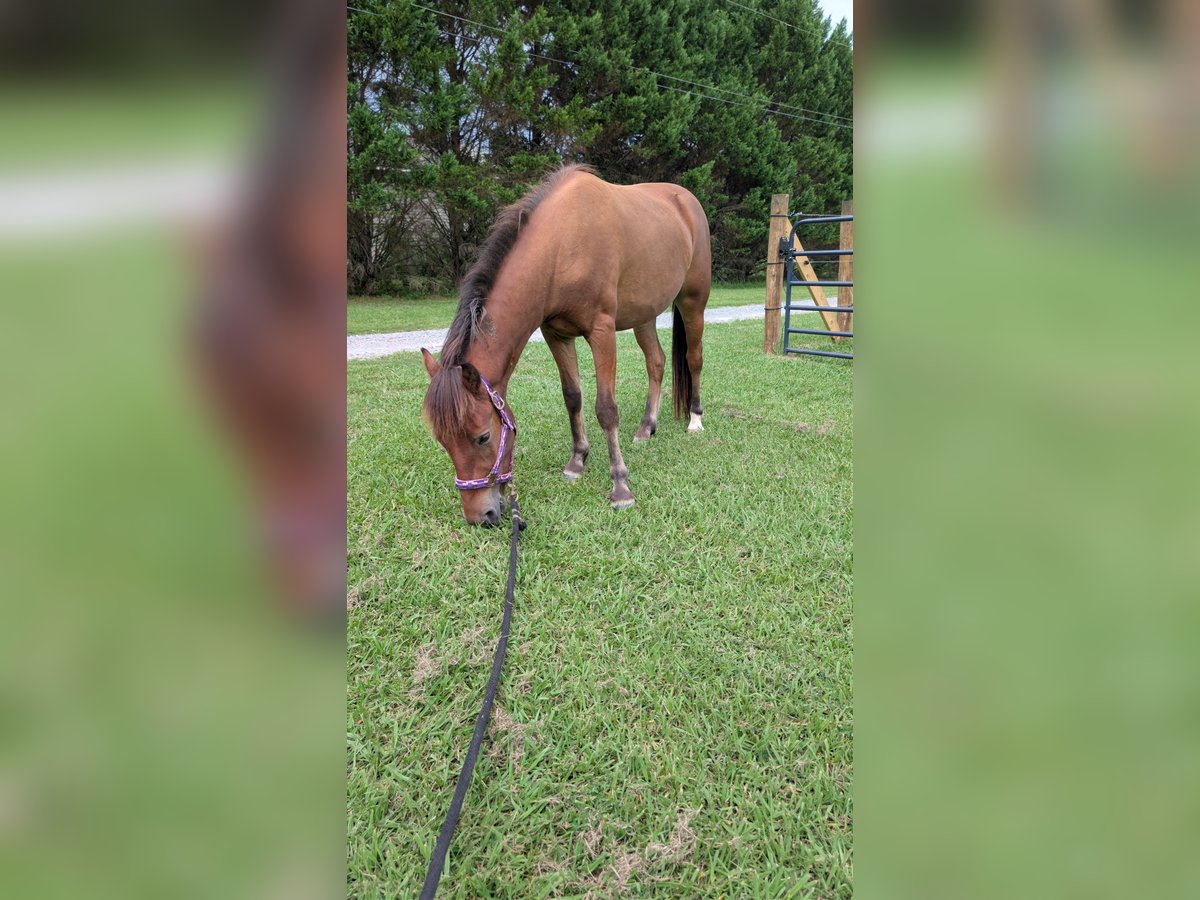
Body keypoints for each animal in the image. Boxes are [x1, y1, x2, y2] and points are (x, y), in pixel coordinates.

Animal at [421, 165, 711, 526]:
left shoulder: (601, 331)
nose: (481, 516)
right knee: (655, 362)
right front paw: (577, 462)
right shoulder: (555, 334)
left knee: (694, 358)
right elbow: (573, 397)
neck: (562, 247)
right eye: (442, 442)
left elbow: (606, 409)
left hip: (692, 303)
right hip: (644, 314)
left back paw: (695, 420)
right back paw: (647, 428)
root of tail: (685, 199)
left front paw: (620, 488)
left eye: (483, 436)